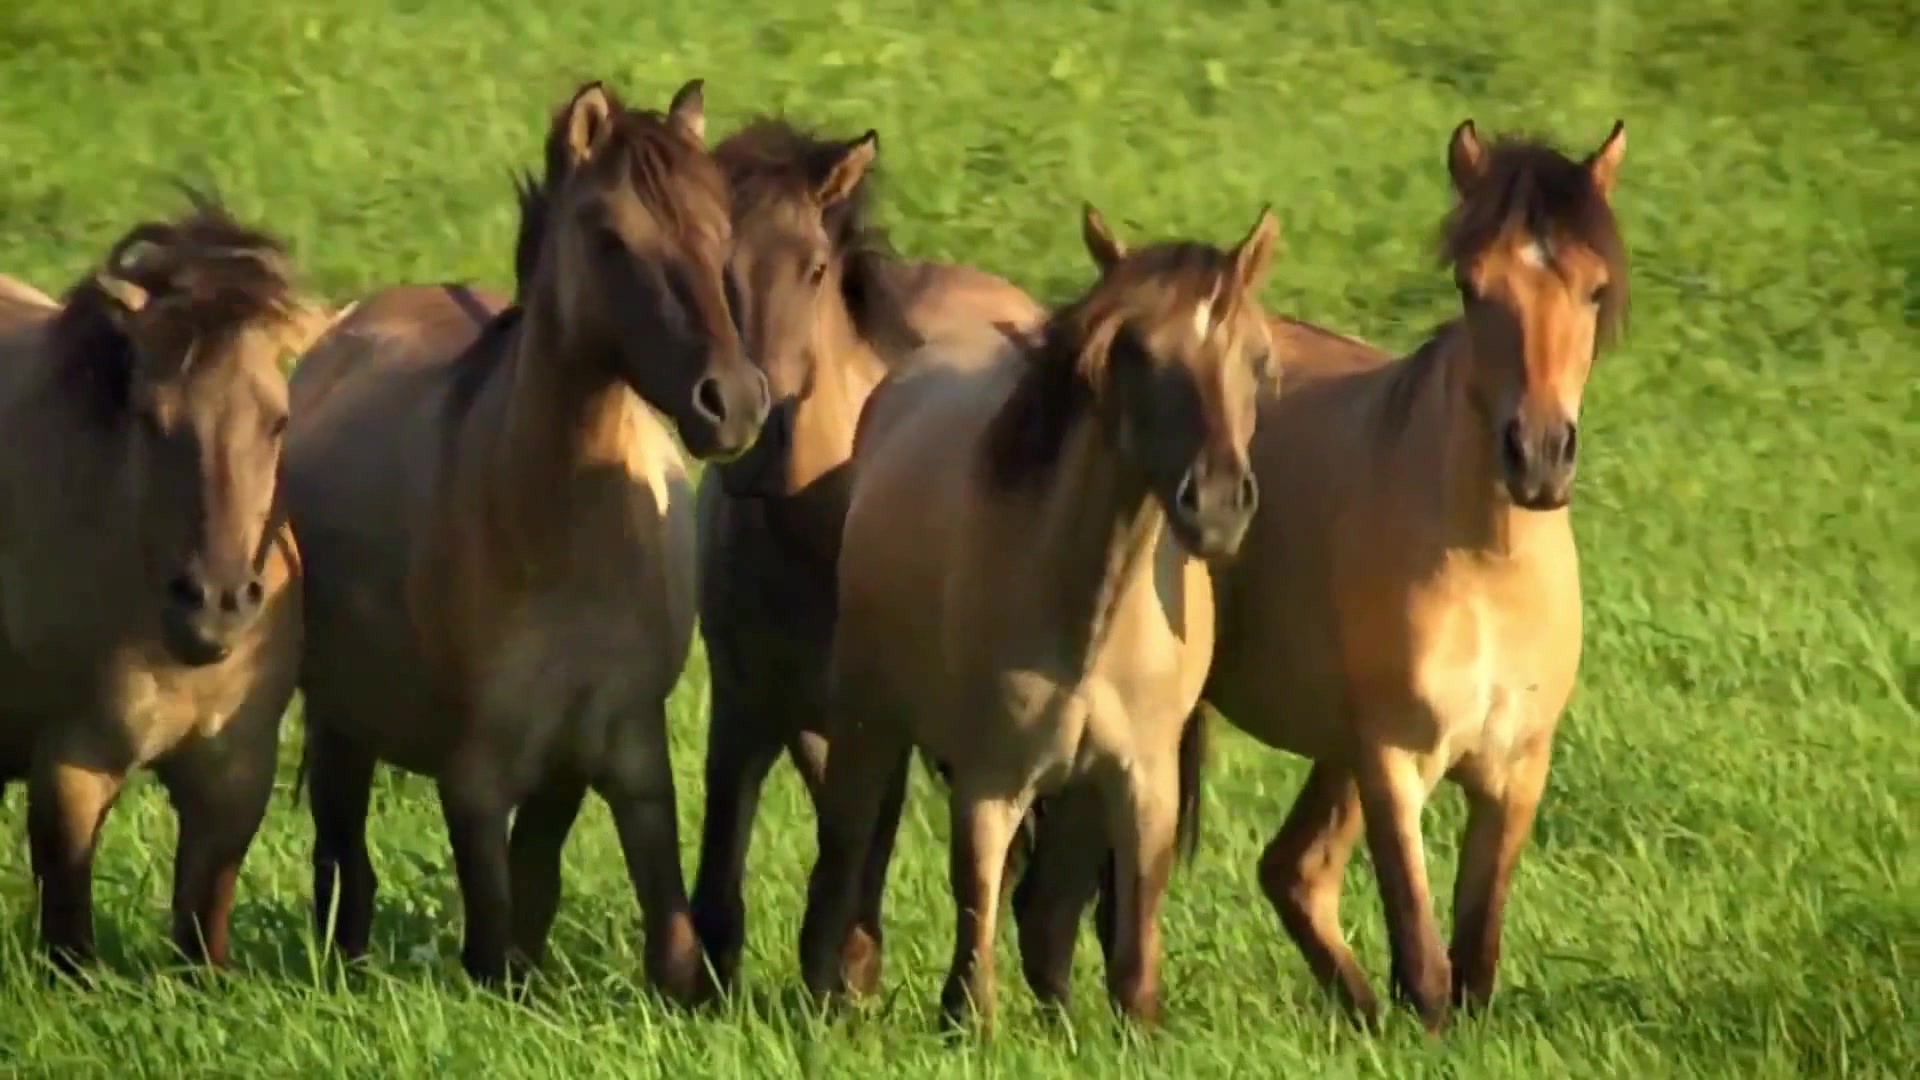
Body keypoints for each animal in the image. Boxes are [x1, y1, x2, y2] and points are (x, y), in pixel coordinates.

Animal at [0, 191, 320, 968]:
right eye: (150, 418)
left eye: (279, 420)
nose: (217, 605)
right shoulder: (72, 764)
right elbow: (70, 938)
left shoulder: (234, 773)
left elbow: (204, 934)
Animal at [284, 79, 764, 999]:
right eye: (611, 238)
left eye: (725, 232)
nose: (732, 402)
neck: (561, 539)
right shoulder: (476, 779)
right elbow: (490, 948)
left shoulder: (624, 759)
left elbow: (662, 946)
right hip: (339, 724)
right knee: (343, 864)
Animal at [687, 115, 1052, 991]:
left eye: (816, 268)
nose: (753, 430)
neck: (814, 528)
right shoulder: (745, 702)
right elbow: (726, 859)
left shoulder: (878, 716)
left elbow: (860, 848)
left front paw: (847, 979)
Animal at [802, 203, 1282, 1022]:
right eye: (1137, 353)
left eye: (1255, 358)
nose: (1217, 505)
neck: (1089, 612)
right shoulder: (990, 778)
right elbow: (975, 925)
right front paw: (967, 1022)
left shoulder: (1140, 784)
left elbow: (1129, 950)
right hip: (870, 724)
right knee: (847, 856)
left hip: (1079, 796)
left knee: (1050, 914)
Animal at [1013, 117, 1628, 1022]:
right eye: (1472, 286)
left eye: (1592, 290)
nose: (1540, 455)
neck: (1487, 567)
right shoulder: (1394, 762)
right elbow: (1426, 962)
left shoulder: (1516, 772)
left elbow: (1474, 960)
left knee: (1289, 873)